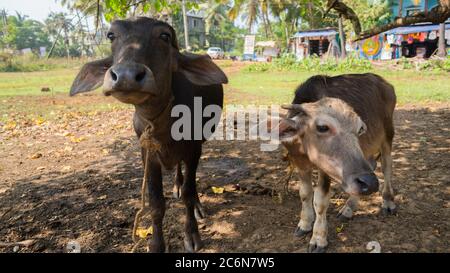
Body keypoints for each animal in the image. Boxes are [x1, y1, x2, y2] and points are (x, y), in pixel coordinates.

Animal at [278, 73, 398, 252]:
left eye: (359, 129)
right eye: (322, 127)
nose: (371, 184)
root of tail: (384, 83)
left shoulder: (325, 171)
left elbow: (320, 200)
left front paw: (318, 238)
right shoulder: (299, 162)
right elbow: (305, 194)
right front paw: (305, 223)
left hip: (388, 135)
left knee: (386, 167)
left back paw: (388, 202)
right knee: (371, 166)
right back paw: (348, 208)